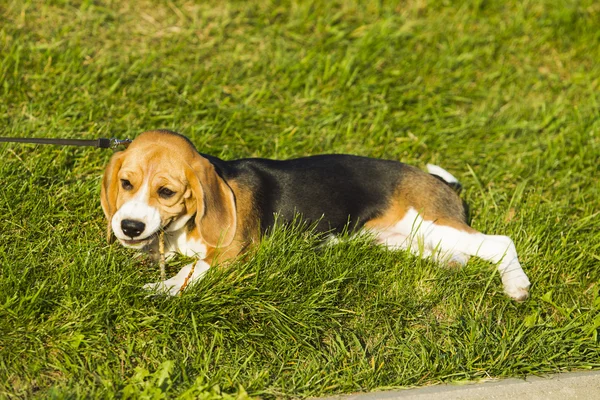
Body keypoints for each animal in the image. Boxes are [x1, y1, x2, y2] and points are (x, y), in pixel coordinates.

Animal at [101, 130, 532, 302]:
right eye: (126, 183)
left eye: (166, 192)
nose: (128, 227)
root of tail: (438, 182)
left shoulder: (234, 254)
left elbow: (194, 269)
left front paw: (163, 288)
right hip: (406, 240)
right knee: (459, 256)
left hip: (431, 222)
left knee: (499, 244)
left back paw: (516, 286)